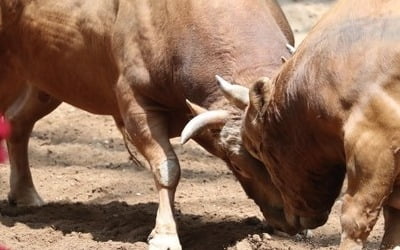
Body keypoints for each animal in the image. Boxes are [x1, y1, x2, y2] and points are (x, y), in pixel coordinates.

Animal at [0, 0, 294, 248]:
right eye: (237, 164)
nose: (290, 220)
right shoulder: (137, 107)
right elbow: (167, 168)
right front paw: (165, 235)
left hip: (47, 83)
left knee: (17, 122)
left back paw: (25, 194)